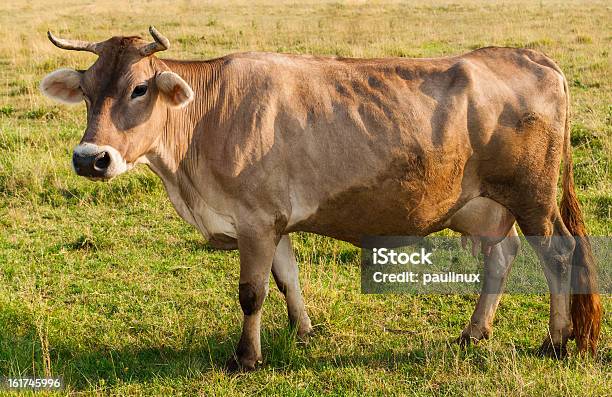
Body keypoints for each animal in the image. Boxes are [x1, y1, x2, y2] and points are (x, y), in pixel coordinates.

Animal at [41, 27, 604, 368]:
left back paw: (555, 341)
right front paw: (304, 331)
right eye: (87, 90)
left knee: (558, 255)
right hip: (484, 206)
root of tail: (530, 55)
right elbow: (286, 279)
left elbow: (251, 293)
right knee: (501, 256)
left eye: (139, 88)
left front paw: (245, 358)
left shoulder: (255, 219)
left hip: (532, 197)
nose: (91, 158)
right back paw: (474, 333)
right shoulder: (272, 222)